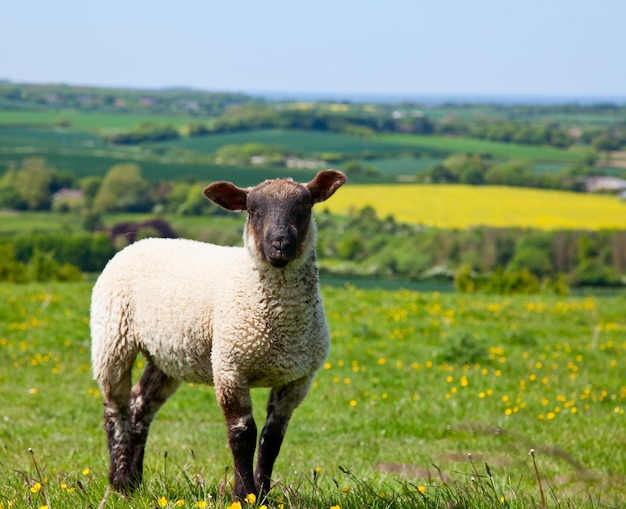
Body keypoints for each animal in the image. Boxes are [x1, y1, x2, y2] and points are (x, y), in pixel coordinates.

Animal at [90, 169, 346, 498]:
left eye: (304, 207)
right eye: (252, 210)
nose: (280, 244)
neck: (279, 326)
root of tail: (140, 241)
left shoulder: (298, 379)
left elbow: (272, 438)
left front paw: (263, 494)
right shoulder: (229, 367)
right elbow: (242, 434)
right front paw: (245, 495)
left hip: (166, 355)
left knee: (140, 406)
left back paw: (135, 482)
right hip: (113, 336)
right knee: (115, 406)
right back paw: (119, 480)